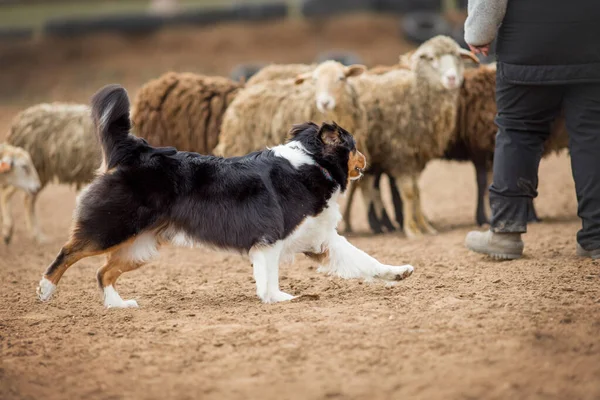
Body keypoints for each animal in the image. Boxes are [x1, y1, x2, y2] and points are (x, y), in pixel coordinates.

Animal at [4, 101, 101, 242]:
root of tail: (20, 119)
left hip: (39, 173)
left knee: (27, 198)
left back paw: (36, 236)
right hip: (32, 169)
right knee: (10, 193)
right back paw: (11, 231)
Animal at [36, 84, 412, 308]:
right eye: (354, 146)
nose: (368, 158)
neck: (313, 163)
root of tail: (138, 150)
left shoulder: (320, 240)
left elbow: (366, 260)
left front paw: (399, 272)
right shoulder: (269, 239)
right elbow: (269, 275)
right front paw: (277, 298)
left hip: (140, 245)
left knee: (103, 272)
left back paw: (118, 305)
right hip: (112, 227)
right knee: (68, 252)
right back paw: (45, 290)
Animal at [350, 35, 480, 238]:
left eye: (457, 57)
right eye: (432, 58)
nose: (452, 78)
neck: (414, 94)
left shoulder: (416, 158)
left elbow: (418, 192)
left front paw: (425, 227)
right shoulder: (401, 155)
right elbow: (410, 193)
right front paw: (412, 229)